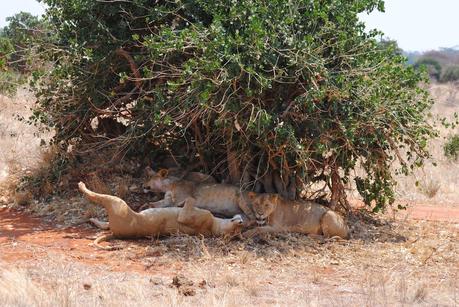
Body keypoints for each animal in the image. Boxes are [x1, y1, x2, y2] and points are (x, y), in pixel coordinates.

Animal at [78, 183, 244, 250]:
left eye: (235, 231)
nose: (241, 221)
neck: (215, 226)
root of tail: (116, 234)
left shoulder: (193, 216)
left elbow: (189, 202)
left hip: (119, 204)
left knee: (98, 197)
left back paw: (81, 185)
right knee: (105, 225)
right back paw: (92, 220)